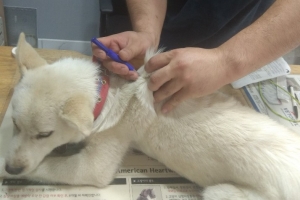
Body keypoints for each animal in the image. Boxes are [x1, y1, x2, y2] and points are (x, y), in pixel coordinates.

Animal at [2, 32, 300, 200]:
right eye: (14, 124)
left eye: (44, 135)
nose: (12, 169)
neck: (105, 93)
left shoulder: (94, 166)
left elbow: (45, 166)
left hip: (220, 193)